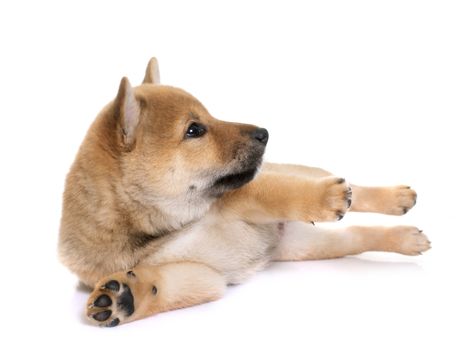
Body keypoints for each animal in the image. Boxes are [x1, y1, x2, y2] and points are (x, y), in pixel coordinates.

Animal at [59, 58, 432, 328]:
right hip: (310, 247)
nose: (263, 133)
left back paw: (394, 197)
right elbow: (163, 285)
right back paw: (406, 238)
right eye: (194, 130)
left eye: (205, 118)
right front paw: (125, 297)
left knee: (347, 187)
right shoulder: (201, 275)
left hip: (302, 177)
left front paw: (326, 198)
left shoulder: (245, 196)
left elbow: (284, 193)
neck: (164, 229)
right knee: (358, 236)